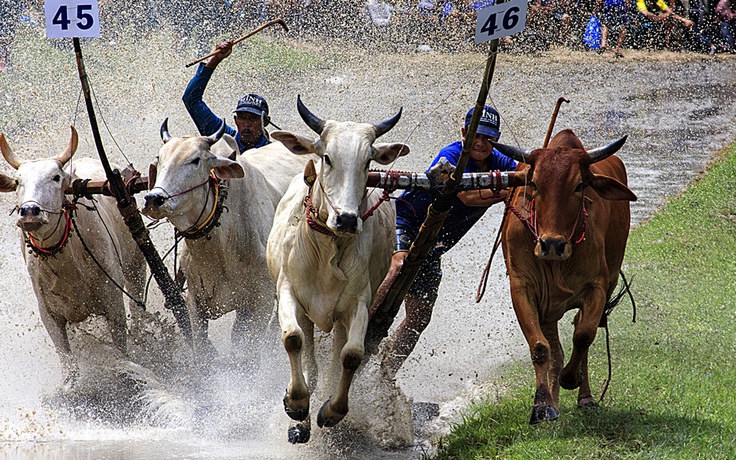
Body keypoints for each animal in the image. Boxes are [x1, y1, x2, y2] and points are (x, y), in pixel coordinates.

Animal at [0, 126, 146, 388]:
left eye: (56, 178)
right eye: (18, 182)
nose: (30, 212)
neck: (64, 262)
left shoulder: (113, 302)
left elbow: (122, 349)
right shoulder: (49, 314)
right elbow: (67, 362)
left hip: (136, 266)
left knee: (138, 306)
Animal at [268, 96, 412, 442]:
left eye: (368, 162)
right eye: (327, 157)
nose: (346, 219)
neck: (328, 249)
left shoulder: (357, 304)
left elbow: (352, 355)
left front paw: (332, 411)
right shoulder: (288, 292)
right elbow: (293, 339)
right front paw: (296, 405)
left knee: (336, 358)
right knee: (308, 352)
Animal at [492, 129, 636, 424]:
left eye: (579, 185)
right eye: (535, 184)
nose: (551, 245)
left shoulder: (598, 287)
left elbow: (583, 336)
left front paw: (572, 379)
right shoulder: (523, 288)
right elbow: (541, 348)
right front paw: (542, 405)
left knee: (582, 334)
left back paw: (586, 396)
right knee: (554, 350)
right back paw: (555, 401)